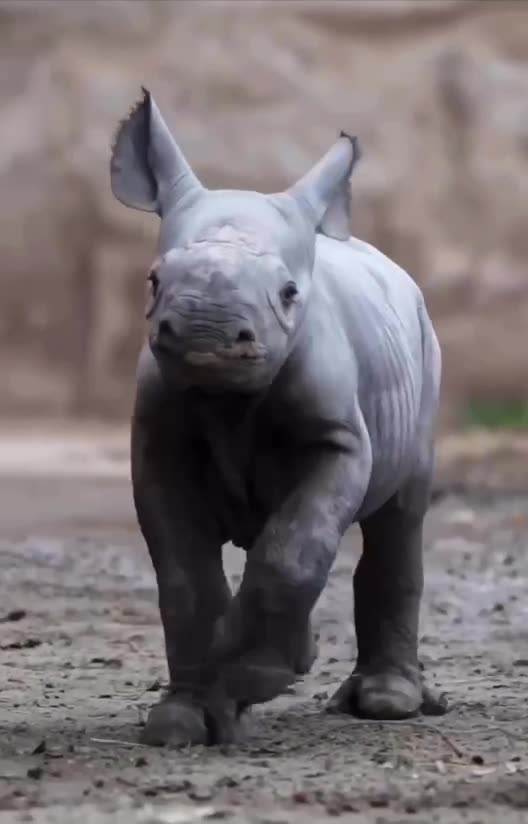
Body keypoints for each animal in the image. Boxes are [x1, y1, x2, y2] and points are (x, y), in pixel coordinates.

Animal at [110, 89, 447, 747]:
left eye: (289, 293)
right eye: (154, 281)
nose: (207, 332)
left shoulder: (338, 439)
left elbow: (293, 548)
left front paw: (257, 675)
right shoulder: (157, 444)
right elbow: (183, 576)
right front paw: (183, 724)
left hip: (424, 342)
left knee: (399, 517)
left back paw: (385, 702)